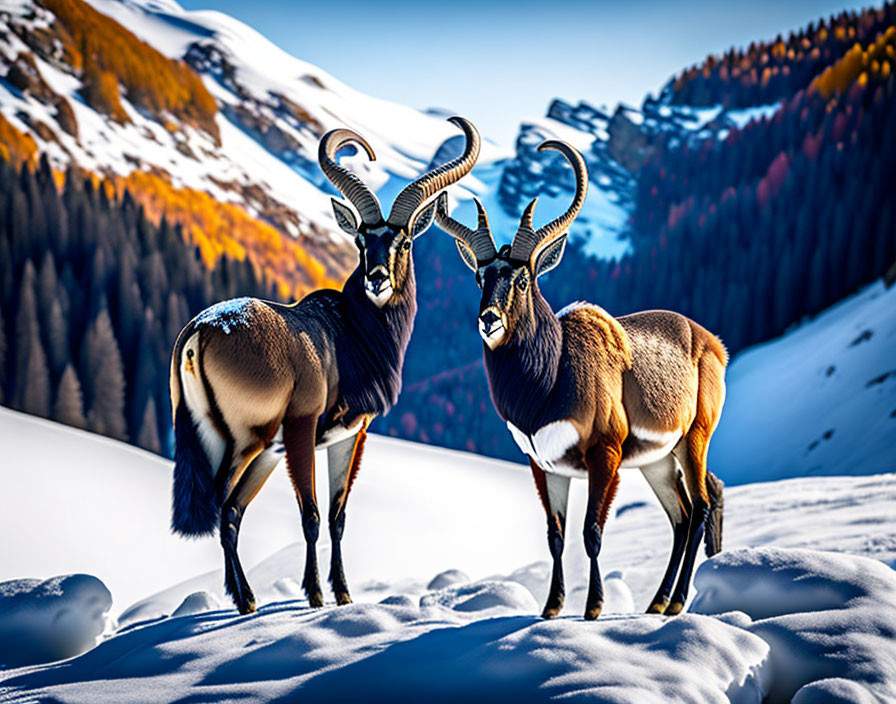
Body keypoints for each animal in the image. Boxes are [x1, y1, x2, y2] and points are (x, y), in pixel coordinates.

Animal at [172, 118, 484, 612]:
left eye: (404, 240)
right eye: (360, 239)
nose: (377, 279)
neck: (350, 334)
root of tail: (203, 329)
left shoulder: (341, 436)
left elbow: (338, 515)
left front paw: (343, 593)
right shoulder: (309, 430)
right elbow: (314, 515)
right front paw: (317, 594)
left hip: (245, 445)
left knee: (232, 511)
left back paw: (246, 599)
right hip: (248, 441)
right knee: (223, 506)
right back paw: (245, 600)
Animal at [436, 140, 728, 620]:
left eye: (523, 277)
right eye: (480, 275)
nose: (488, 320)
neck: (551, 380)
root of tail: (711, 342)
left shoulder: (604, 453)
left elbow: (591, 531)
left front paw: (593, 607)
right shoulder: (543, 464)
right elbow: (555, 536)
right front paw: (551, 608)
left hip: (693, 440)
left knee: (701, 506)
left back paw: (675, 602)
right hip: (656, 460)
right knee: (682, 514)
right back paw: (656, 603)